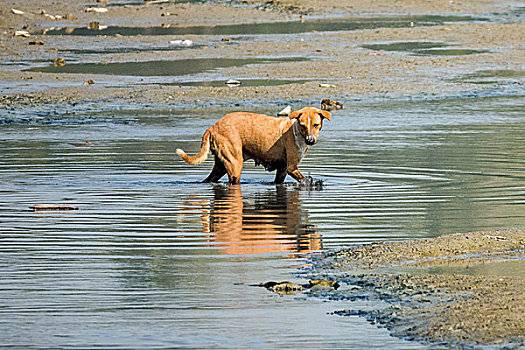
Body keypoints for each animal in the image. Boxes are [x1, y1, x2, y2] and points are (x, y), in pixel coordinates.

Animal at [178, 106, 330, 183]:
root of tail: (213, 126)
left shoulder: (282, 169)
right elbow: (304, 181)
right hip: (235, 164)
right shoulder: (291, 167)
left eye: (316, 125)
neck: (296, 129)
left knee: (209, 179)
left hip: (220, 166)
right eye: (303, 125)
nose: (310, 140)